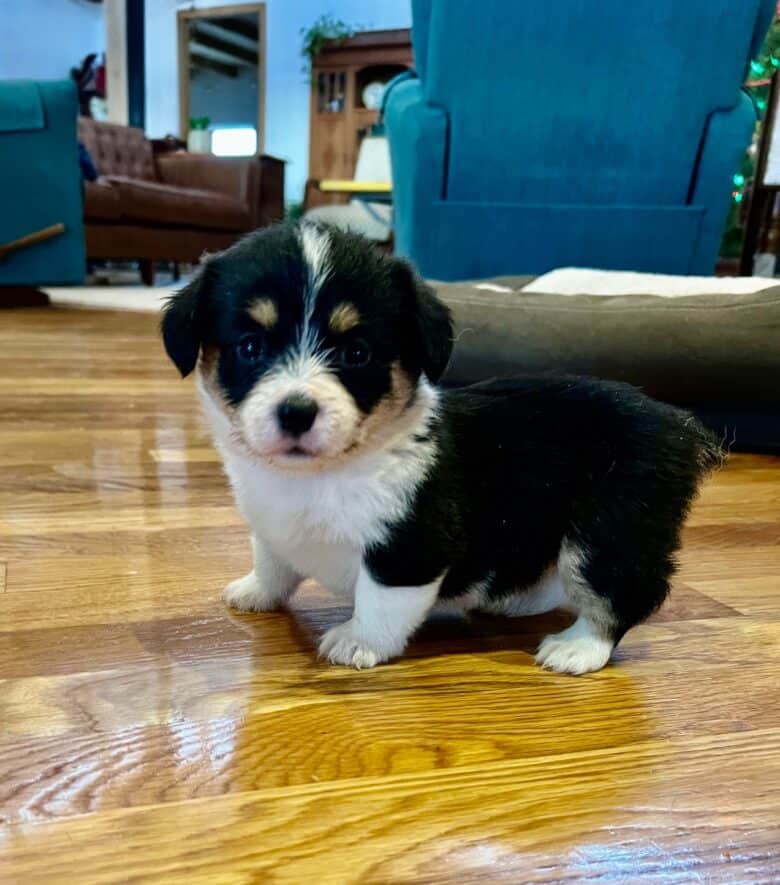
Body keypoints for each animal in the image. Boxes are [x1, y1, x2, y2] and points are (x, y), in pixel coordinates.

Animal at [161, 224, 724, 672]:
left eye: (357, 352)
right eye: (250, 347)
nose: (296, 412)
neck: (320, 475)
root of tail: (682, 426)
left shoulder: (409, 547)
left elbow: (381, 601)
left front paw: (359, 642)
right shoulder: (272, 526)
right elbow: (272, 561)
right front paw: (255, 592)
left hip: (608, 532)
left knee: (622, 593)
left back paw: (579, 647)